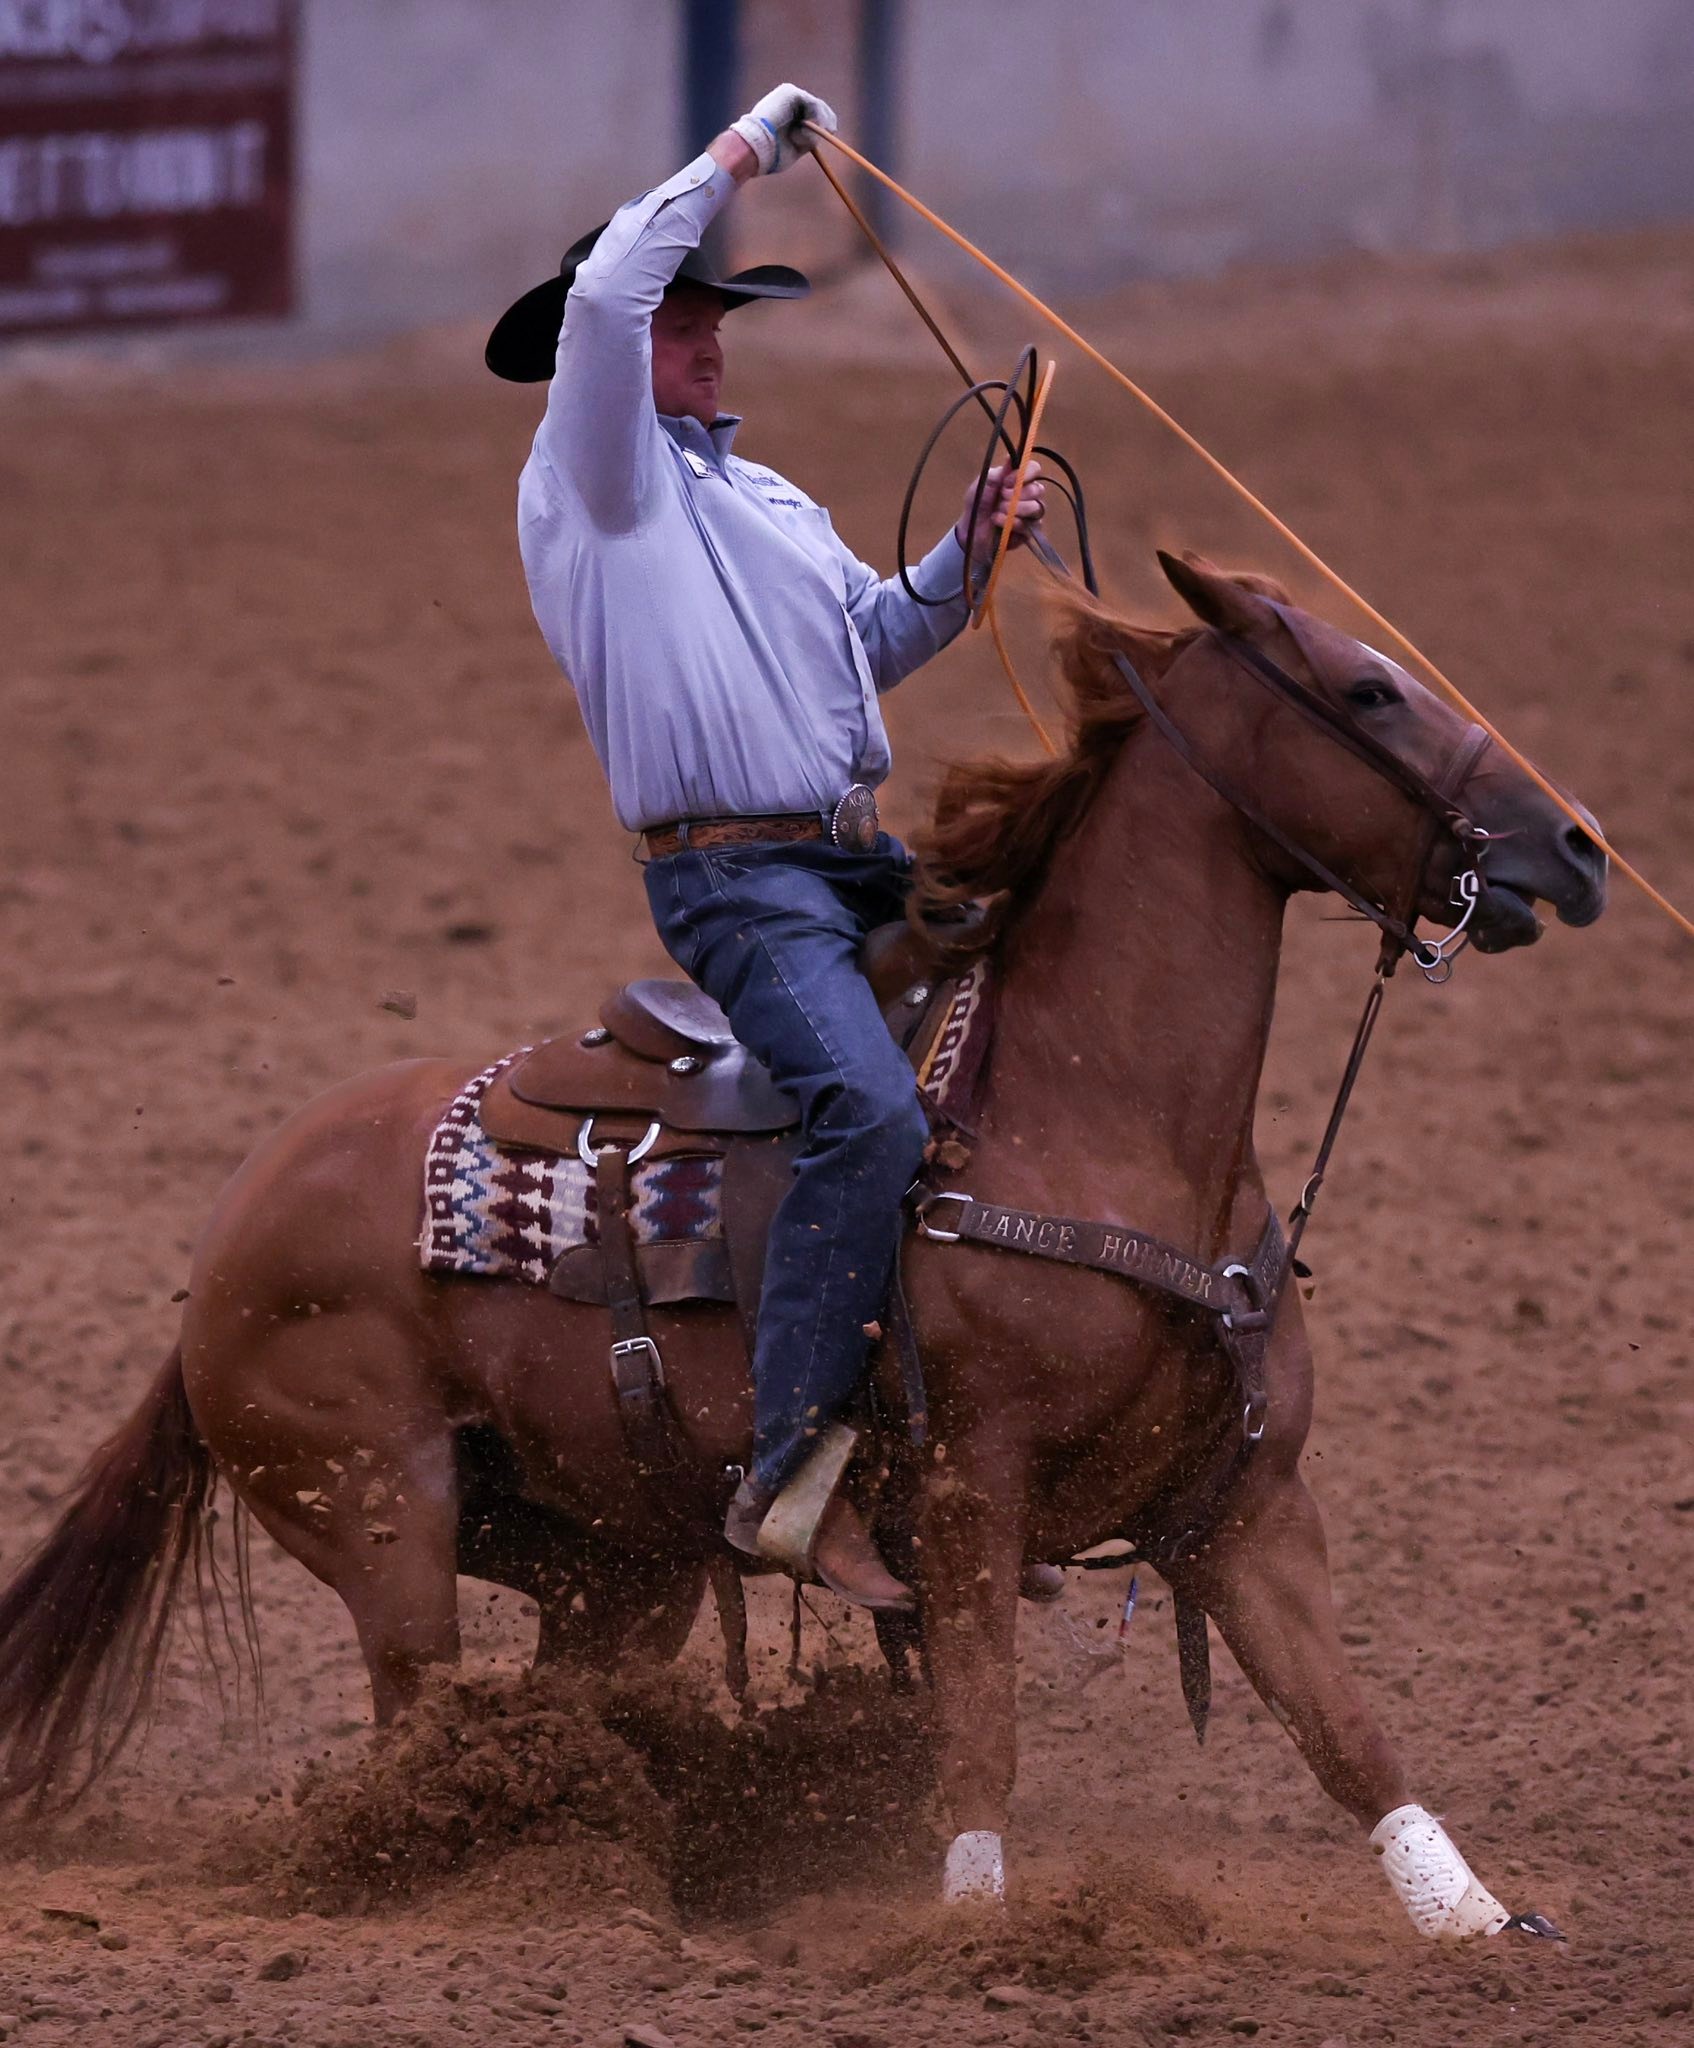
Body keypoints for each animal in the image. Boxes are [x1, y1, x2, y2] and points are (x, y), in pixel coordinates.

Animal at [0, 553, 1604, 1937]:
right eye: (1367, 691)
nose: (1576, 848)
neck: (1097, 1123)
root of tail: (228, 1236)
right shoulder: (969, 1492)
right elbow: (980, 1733)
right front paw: (979, 1926)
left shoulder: (1247, 1509)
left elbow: (1348, 1733)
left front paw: (1477, 1920)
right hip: (384, 1516)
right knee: (417, 1729)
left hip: (611, 1565)